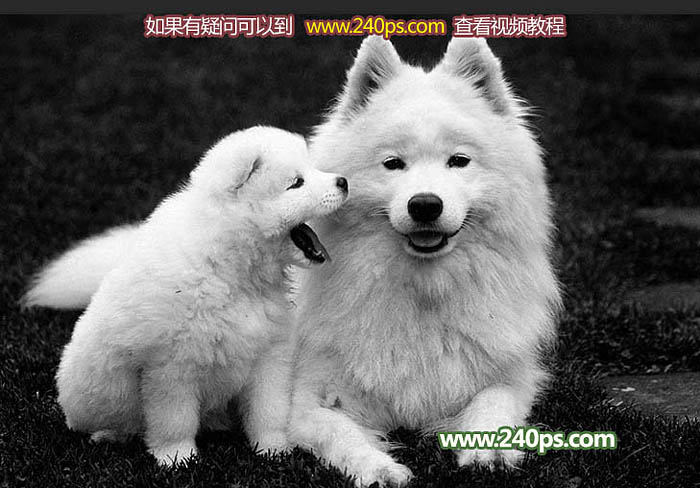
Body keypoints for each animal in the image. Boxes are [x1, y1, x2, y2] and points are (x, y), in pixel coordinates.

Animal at [27, 126, 348, 465]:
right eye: (296, 183)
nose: (343, 181)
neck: (230, 269)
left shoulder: (268, 353)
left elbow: (269, 409)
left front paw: (274, 450)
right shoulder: (172, 366)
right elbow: (175, 419)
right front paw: (177, 458)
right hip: (94, 387)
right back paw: (108, 434)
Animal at [284, 37, 561, 486]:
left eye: (459, 160)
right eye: (393, 163)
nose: (426, 205)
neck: (424, 293)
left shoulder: (510, 377)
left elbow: (494, 401)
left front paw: (489, 453)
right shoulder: (309, 400)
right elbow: (339, 433)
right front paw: (378, 468)